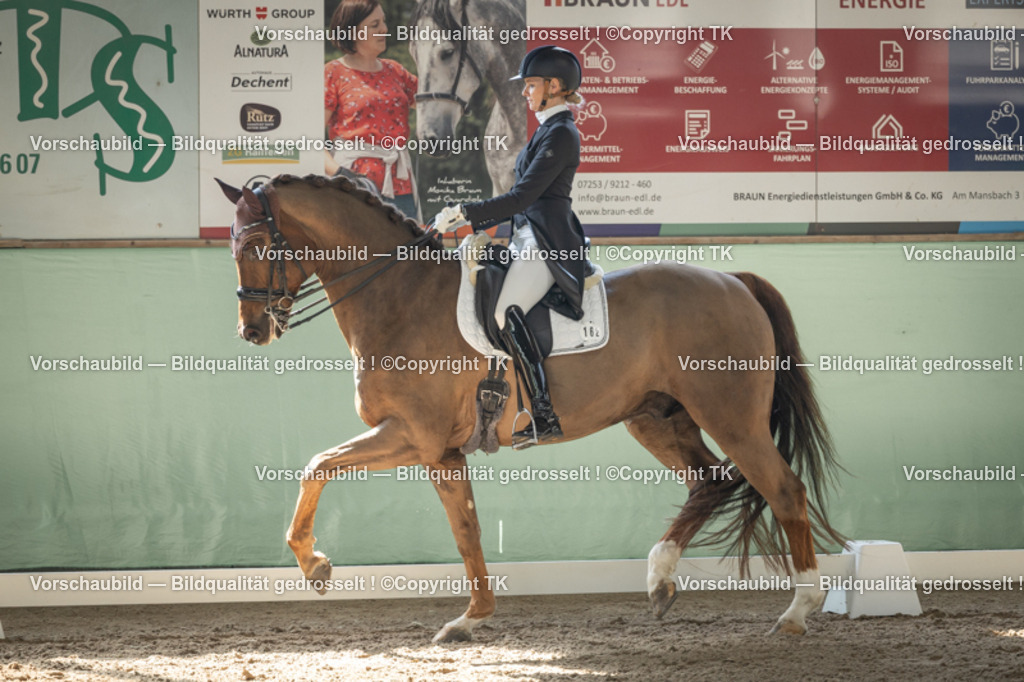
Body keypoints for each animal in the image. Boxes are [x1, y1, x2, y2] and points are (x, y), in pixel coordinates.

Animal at [218, 173, 845, 643]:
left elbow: (317, 466)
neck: (399, 296)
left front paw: (315, 565)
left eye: (255, 247)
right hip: (657, 419)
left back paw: (798, 611)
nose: (252, 331)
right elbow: (466, 529)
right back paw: (660, 578)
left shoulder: (412, 435)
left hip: (730, 417)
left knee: (782, 489)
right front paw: (470, 619)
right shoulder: (441, 451)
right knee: (711, 481)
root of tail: (733, 281)